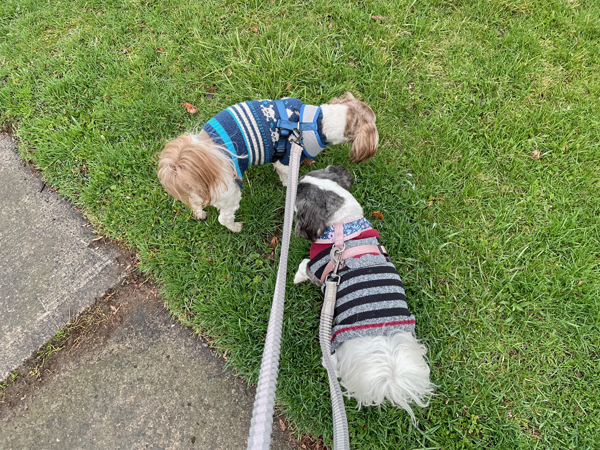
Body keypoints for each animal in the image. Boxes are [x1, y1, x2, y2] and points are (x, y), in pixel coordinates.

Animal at [157, 92, 378, 232]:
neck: (315, 123)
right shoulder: (287, 159)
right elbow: (286, 175)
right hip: (230, 194)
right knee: (224, 218)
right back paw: (235, 227)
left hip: (198, 188)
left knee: (195, 201)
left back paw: (199, 213)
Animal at [292, 166, 434, 422]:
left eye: (298, 195)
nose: (297, 179)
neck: (343, 229)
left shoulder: (318, 270)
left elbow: (304, 265)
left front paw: (297, 277)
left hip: (336, 337)